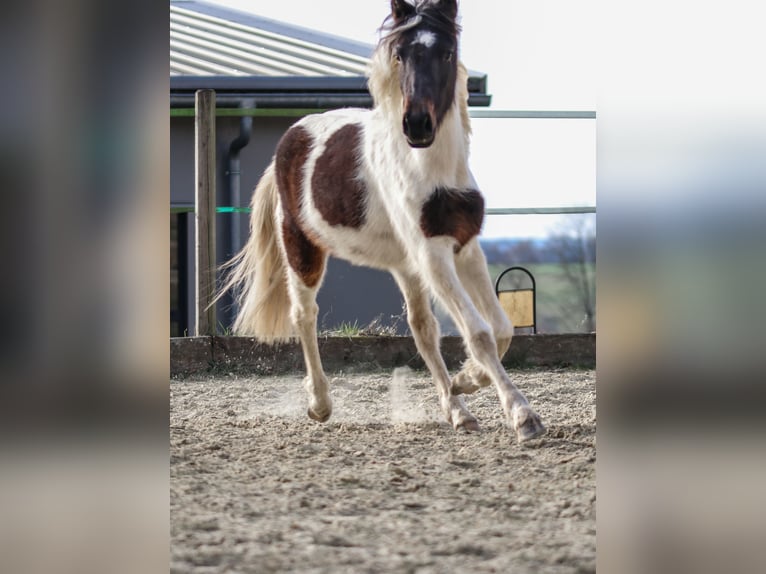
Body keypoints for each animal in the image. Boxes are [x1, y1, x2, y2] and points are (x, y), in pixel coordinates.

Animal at [218, 0, 546, 442]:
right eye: (400, 54)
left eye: (447, 52)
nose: (417, 125)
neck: (434, 169)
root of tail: (290, 140)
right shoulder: (433, 254)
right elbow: (479, 332)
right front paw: (523, 416)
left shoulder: (464, 248)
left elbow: (500, 327)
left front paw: (467, 382)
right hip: (302, 248)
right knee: (304, 315)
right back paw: (320, 404)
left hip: (404, 266)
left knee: (422, 329)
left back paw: (457, 411)